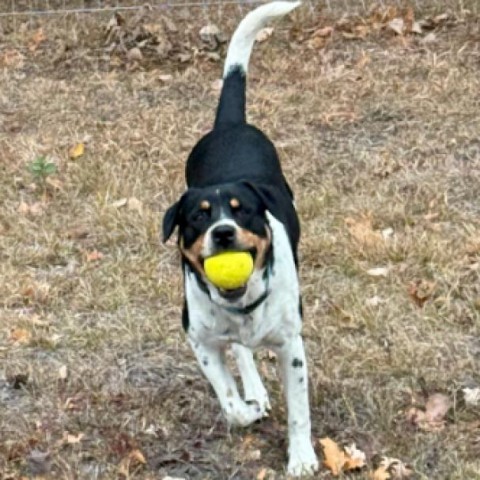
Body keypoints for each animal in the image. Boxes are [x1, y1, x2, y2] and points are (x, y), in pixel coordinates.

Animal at [162, 0, 318, 476]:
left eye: (242, 209)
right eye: (198, 216)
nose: (224, 232)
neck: (243, 304)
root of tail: (229, 124)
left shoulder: (291, 346)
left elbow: (299, 411)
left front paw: (302, 458)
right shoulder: (199, 338)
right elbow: (229, 400)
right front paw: (247, 408)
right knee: (242, 353)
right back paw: (255, 392)